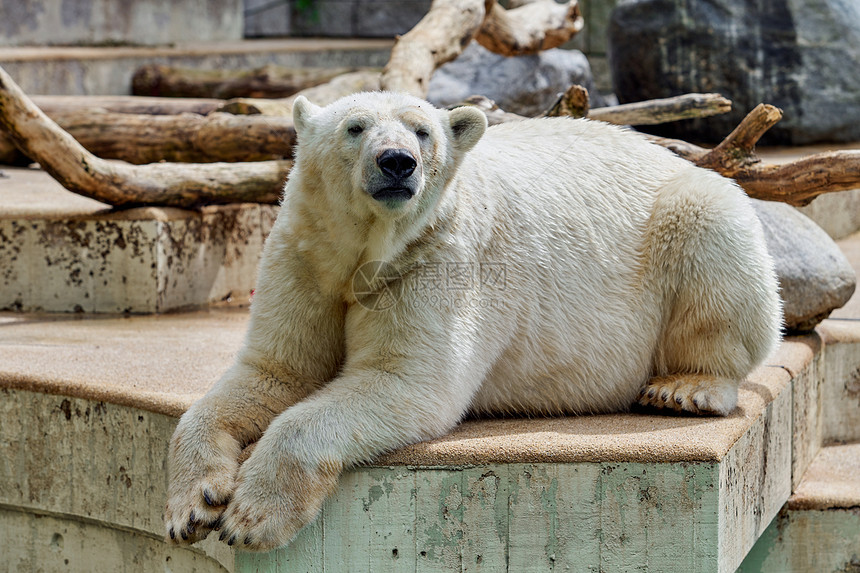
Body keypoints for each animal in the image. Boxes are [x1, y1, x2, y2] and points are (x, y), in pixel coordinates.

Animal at [165, 91, 784, 548]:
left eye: (421, 132)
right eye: (355, 127)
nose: (397, 163)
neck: (368, 254)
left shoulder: (440, 261)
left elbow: (406, 380)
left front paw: (252, 517)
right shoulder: (306, 256)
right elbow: (274, 372)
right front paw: (192, 506)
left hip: (687, 216)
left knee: (715, 245)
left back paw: (684, 388)